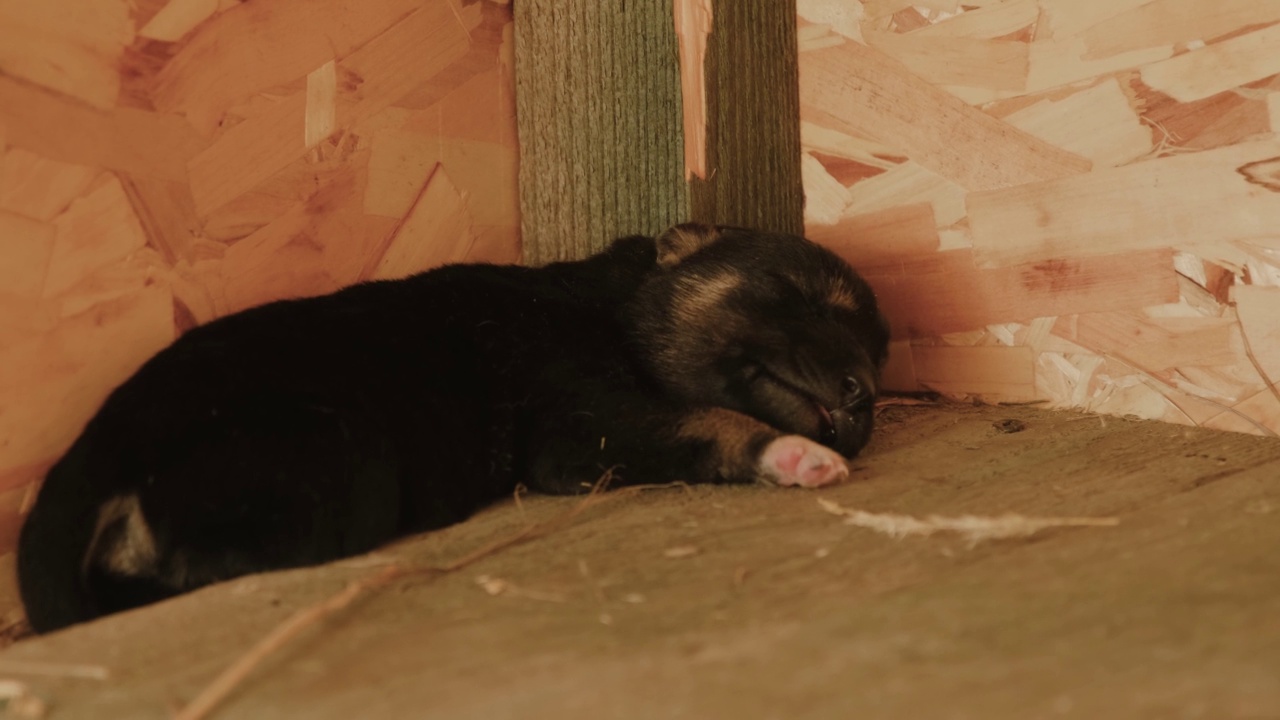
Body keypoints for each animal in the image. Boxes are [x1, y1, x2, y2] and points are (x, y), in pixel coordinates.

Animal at [17, 222, 890, 627]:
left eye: (880, 359)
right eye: (799, 296)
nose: (860, 397)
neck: (613, 307)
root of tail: (88, 456)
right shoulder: (579, 423)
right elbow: (709, 418)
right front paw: (795, 456)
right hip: (348, 455)